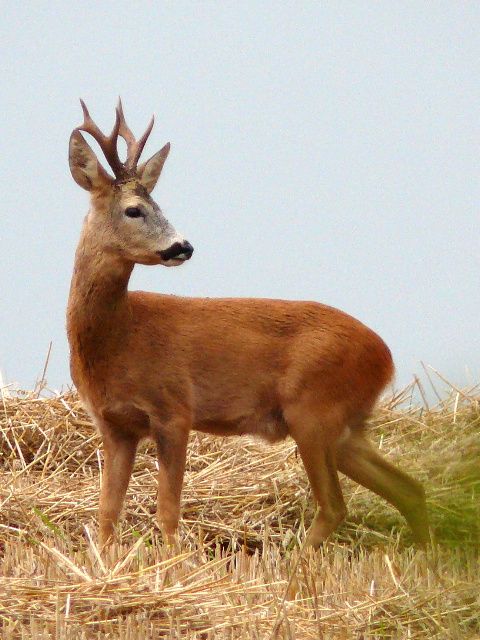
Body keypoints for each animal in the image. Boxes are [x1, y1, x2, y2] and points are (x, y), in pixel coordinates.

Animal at [66, 102, 428, 548]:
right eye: (135, 209)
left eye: (159, 205)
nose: (183, 247)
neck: (118, 338)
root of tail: (385, 356)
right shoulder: (115, 425)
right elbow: (106, 514)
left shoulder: (175, 409)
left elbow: (168, 512)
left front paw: (174, 563)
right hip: (346, 427)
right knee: (408, 488)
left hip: (313, 410)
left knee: (334, 506)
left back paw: (296, 562)